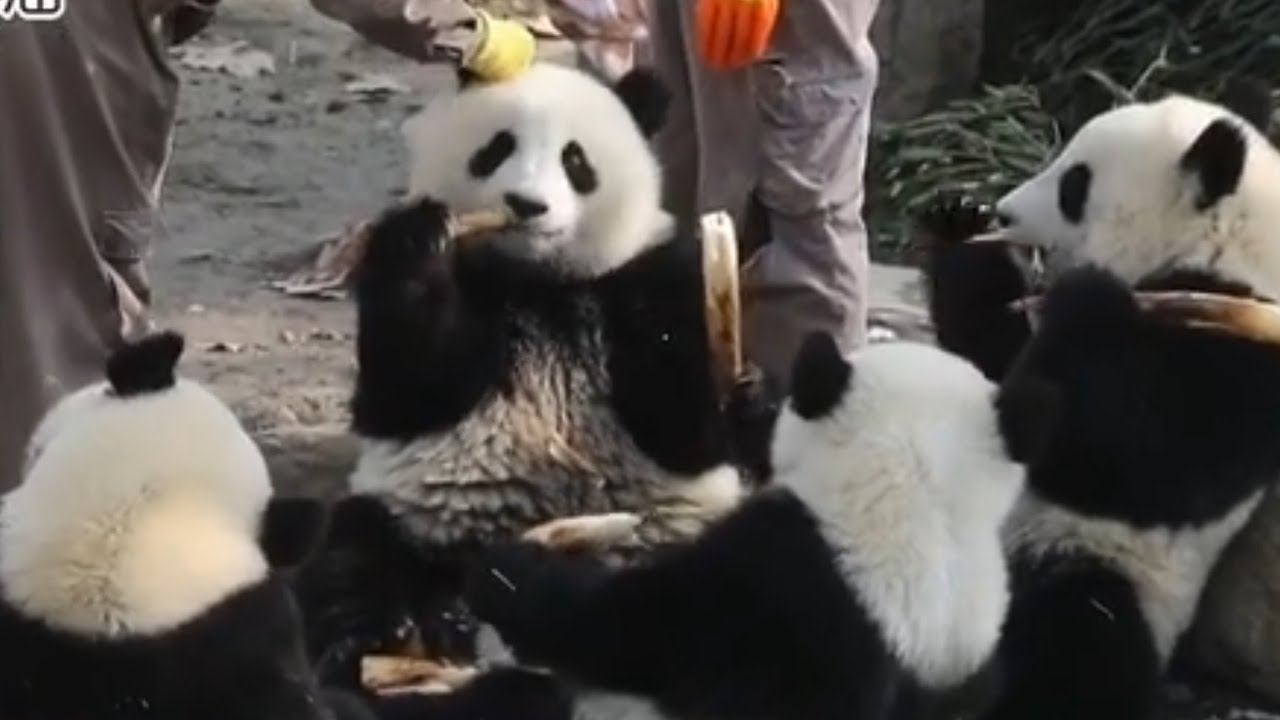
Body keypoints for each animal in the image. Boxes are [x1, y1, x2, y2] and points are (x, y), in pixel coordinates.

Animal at [293, 61, 756, 682]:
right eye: (496, 148)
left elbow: (683, 429)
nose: (526, 205)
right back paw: (381, 638)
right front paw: (421, 238)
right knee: (355, 555)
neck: (539, 282)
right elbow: (403, 394)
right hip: (417, 522)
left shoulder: (630, 282)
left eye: (576, 161)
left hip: (678, 531)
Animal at [457, 332, 1059, 720]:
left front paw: (506, 571)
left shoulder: (782, 587)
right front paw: (751, 400)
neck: (924, 495)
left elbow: (628, 629)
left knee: (516, 701)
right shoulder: (972, 654)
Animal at [919, 91, 1280, 719]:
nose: (1006, 215)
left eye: (1074, 185)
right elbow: (996, 364)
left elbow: (1141, 460)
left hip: (1101, 567)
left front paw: (1090, 292)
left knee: (1080, 642)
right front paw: (959, 218)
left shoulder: (1236, 336)